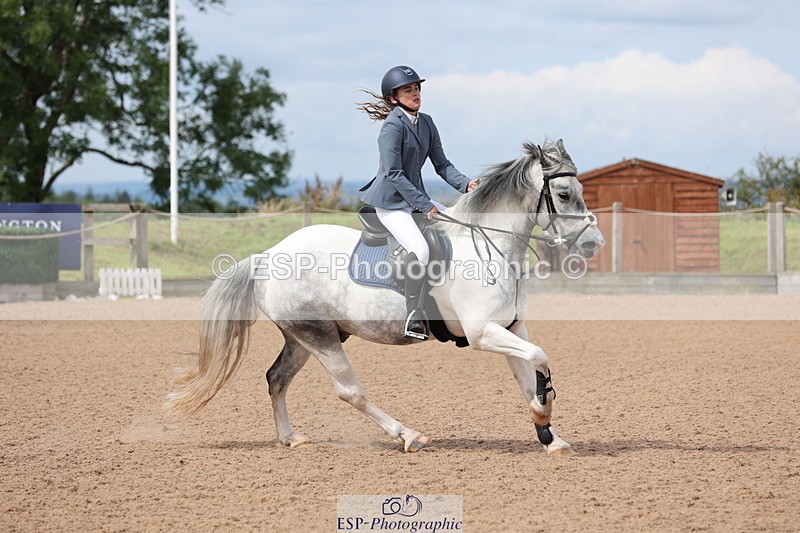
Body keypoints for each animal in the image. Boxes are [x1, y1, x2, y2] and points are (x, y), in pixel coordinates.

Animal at [164, 139, 605, 456]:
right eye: (564, 194)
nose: (593, 244)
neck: (488, 248)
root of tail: (268, 255)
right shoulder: (483, 333)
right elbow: (539, 360)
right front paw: (544, 414)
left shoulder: (511, 326)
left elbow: (529, 375)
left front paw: (549, 436)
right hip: (319, 336)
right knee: (350, 391)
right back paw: (408, 435)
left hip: (304, 336)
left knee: (277, 378)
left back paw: (290, 438)